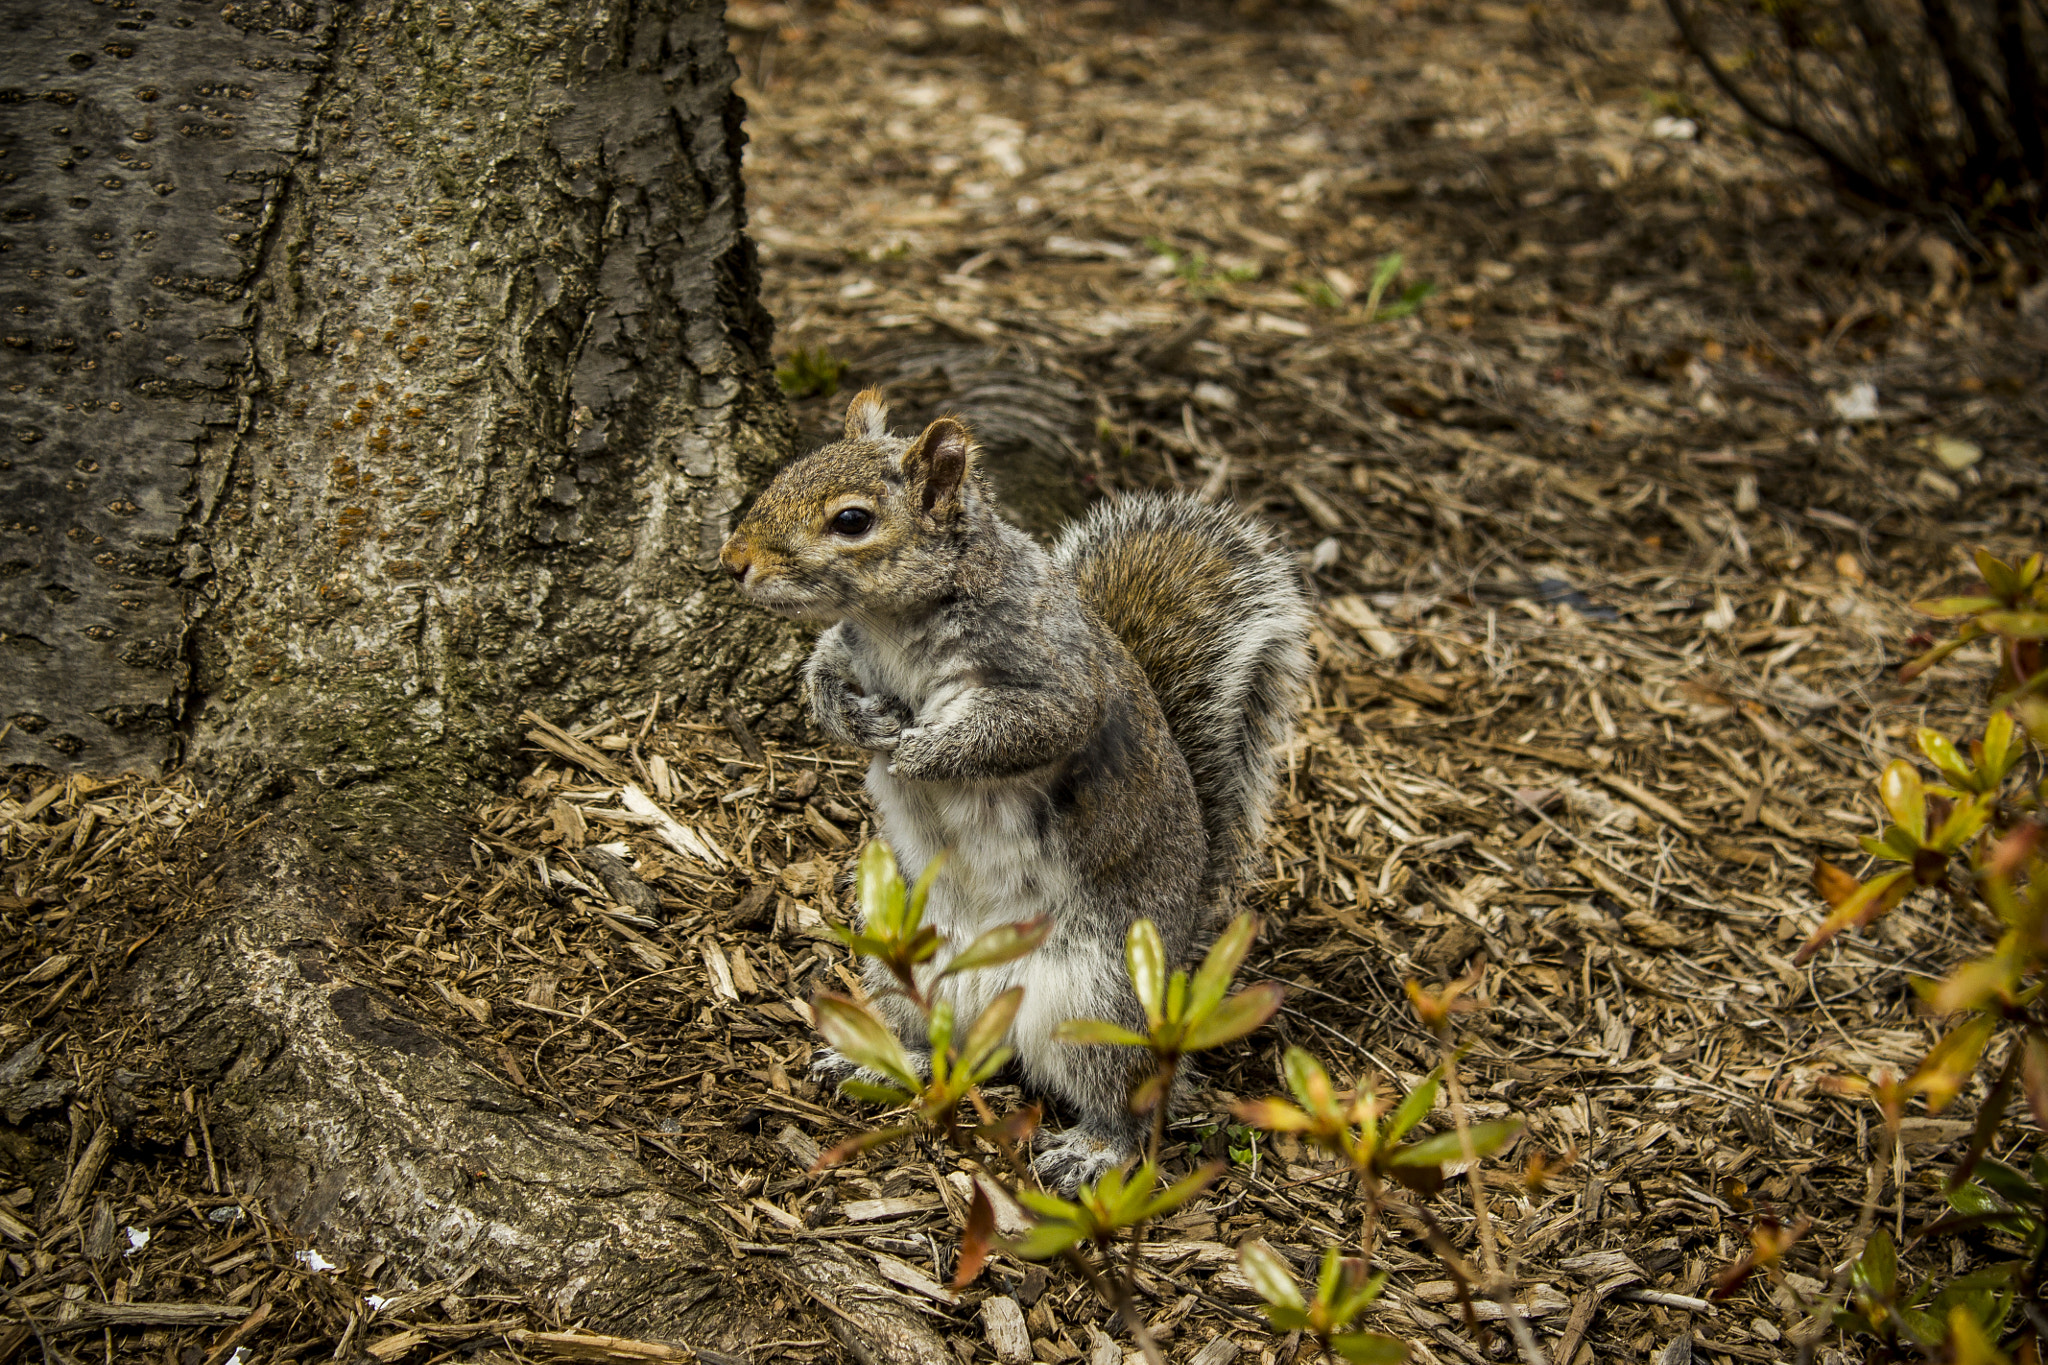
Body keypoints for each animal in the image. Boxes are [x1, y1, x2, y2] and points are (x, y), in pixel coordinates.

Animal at [719, 390, 1310, 1187]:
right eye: (789, 469)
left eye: (852, 520)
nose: (733, 560)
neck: (893, 620)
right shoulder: (845, 646)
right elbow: (819, 680)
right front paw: (861, 720)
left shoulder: (1052, 677)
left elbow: (1026, 727)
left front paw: (922, 751)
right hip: (899, 952)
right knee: (935, 1039)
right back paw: (877, 1060)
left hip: (1094, 1000)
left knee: (1129, 1099)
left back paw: (1096, 1148)